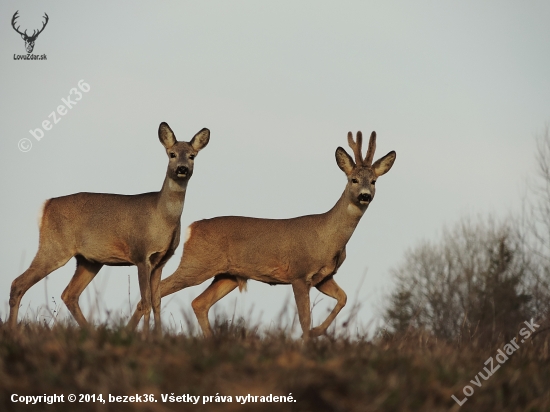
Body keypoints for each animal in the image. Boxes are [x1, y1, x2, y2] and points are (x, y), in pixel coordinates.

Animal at [8, 123, 211, 334]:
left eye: (192, 155)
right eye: (172, 154)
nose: (182, 168)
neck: (162, 217)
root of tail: (47, 205)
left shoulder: (161, 261)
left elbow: (156, 302)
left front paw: (159, 336)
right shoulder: (141, 254)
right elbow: (146, 302)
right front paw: (146, 337)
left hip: (89, 261)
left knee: (69, 294)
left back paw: (90, 332)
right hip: (54, 246)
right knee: (18, 283)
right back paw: (12, 330)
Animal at [129, 130, 396, 338]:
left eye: (373, 181)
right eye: (353, 179)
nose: (365, 195)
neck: (328, 238)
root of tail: (193, 227)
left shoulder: (323, 277)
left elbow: (344, 298)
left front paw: (318, 332)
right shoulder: (299, 273)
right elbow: (304, 319)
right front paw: (307, 340)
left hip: (227, 275)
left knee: (198, 302)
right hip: (196, 263)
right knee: (154, 293)